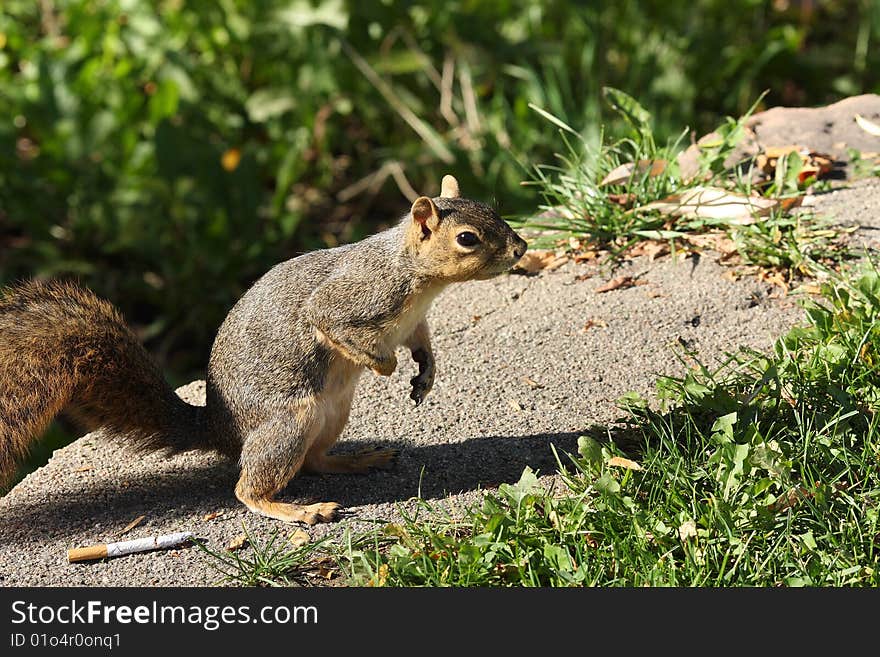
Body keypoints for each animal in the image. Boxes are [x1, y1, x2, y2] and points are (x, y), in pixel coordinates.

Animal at [0, 174, 524, 524]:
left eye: (494, 211)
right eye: (467, 239)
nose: (520, 249)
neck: (418, 279)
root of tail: (219, 428)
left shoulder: (415, 323)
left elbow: (424, 343)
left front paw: (425, 373)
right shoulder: (351, 299)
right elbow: (331, 323)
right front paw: (383, 365)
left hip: (333, 412)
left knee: (315, 460)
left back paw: (355, 461)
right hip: (288, 421)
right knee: (248, 487)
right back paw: (294, 510)